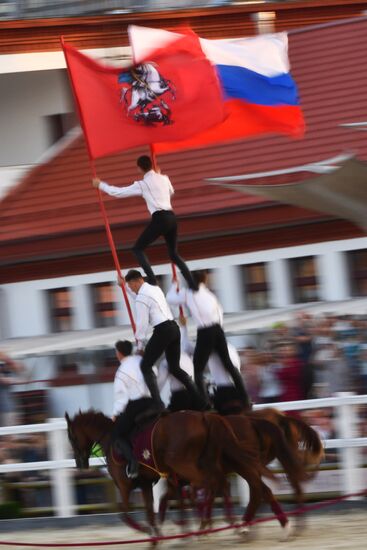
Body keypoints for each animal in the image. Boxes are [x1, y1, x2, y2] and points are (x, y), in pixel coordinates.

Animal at [65, 412, 290, 540]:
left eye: (71, 436)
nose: (80, 463)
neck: (111, 440)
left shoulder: (126, 486)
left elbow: (124, 512)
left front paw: (150, 531)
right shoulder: (151, 484)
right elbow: (156, 506)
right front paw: (160, 533)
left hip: (220, 466)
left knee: (231, 486)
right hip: (236, 465)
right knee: (251, 488)